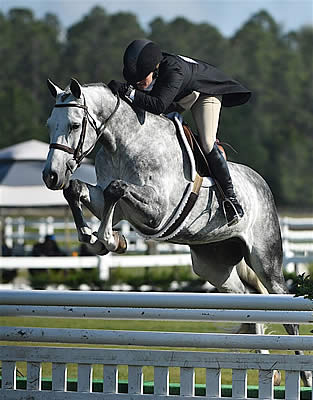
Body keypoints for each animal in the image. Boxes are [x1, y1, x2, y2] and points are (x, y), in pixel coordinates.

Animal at [43, 76, 310, 386]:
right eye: (49, 124)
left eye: (74, 125)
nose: (51, 176)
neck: (124, 143)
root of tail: (260, 184)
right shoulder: (116, 207)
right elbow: (80, 190)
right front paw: (96, 237)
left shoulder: (158, 210)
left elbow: (116, 189)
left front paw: (109, 239)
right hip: (214, 267)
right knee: (246, 302)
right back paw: (269, 369)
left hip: (266, 260)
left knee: (287, 311)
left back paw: (304, 375)